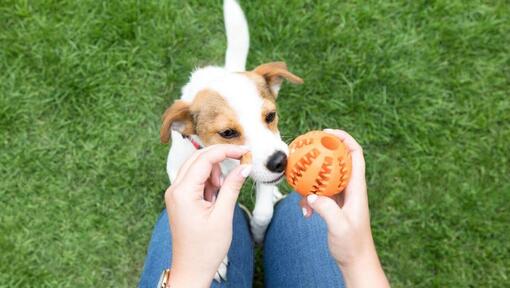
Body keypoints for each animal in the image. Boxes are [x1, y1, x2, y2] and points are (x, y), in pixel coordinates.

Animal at [160, 0, 302, 280]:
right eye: (227, 133)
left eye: (271, 116)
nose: (280, 162)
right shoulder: (179, 173)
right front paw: (215, 261)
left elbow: (263, 212)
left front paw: (258, 233)